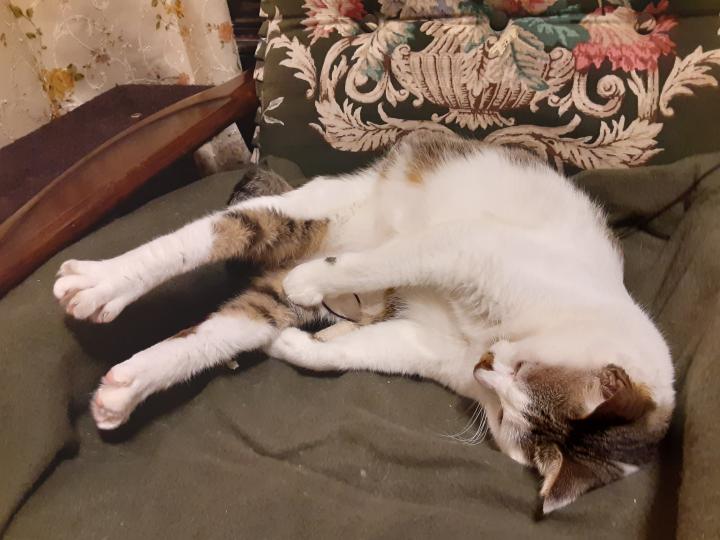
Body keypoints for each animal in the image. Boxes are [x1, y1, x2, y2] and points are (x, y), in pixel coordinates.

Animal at [53, 132, 674, 514]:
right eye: (518, 373)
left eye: (504, 415)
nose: (485, 366)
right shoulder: (463, 248)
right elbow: (392, 260)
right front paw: (316, 283)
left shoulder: (421, 344)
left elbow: (350, 352)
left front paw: (298, 348)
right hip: (316, 212)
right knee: (210, 235)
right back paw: (99, 284)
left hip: (281, 289)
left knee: (226, 328)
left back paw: (125, 388)